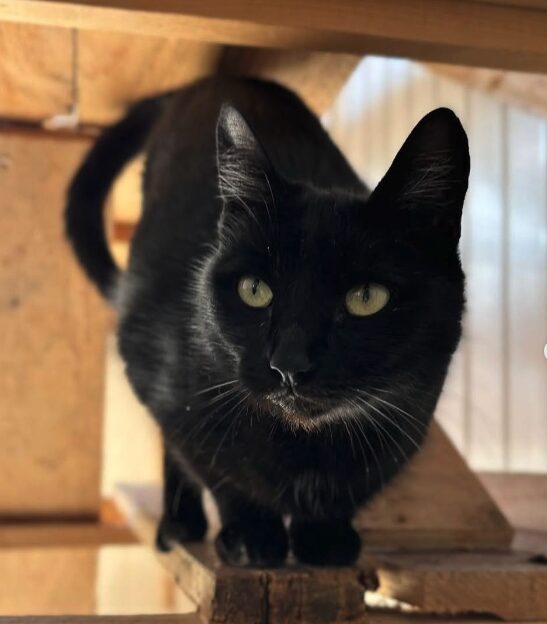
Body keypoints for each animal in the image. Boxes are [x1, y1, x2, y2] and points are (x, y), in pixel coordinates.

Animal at [66, 75, 468, 568]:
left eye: (366, 298)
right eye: (254, 290)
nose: (289, 364)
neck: (307, 446)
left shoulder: (410, 413)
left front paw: (325, 537)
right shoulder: (155, 370)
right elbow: (211, 464)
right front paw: (252, 535)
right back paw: (181, 523)